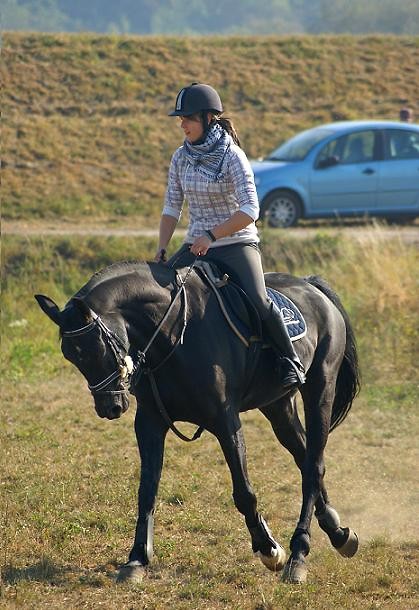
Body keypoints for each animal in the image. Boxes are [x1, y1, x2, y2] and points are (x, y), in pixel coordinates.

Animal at [35, 258, 360, 580]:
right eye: (70, 355)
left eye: (97, 347)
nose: (110, 407)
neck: (171, 335)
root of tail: (312, 287)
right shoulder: (149, 422)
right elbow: (146, 490)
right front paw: (137, 558)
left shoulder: (226, 421)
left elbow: (244, 492)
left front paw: (269, 549)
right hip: (278, 406)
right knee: (305, 458)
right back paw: (338, 533)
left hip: (320, 390)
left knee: (313, 465)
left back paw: (298, 554)